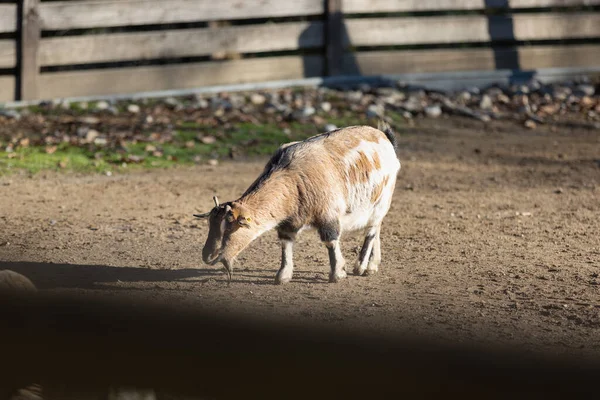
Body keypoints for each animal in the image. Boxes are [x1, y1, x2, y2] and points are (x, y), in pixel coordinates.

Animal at [195, 123, 400, 282]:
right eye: (210, 224)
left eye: (229, 226)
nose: (207, 256)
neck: (292, 177)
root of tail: (384, 136)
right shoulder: (288, 222)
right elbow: (286, 244)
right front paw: (283, 275)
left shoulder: (328, 214)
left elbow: (331, 241)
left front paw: (337, 274)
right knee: (377, 228)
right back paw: (372, 266)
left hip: (382, 198)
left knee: (372, 230)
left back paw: (361, 266)